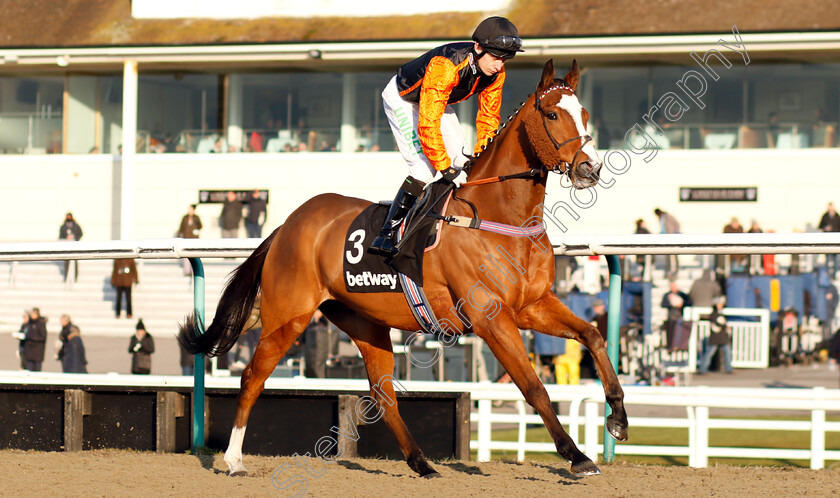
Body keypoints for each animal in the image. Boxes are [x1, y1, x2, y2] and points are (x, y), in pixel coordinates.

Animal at [184, 58, 632, 478]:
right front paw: (577, 456)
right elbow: (534, 387)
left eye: (585, 114)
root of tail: (287, 224)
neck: (500, 217)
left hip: (363, 322)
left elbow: (593, 335)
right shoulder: (492, 318)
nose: (590, 169)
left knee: (383, 395)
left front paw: (618, 418)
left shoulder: (532, 305)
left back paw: (421, 462)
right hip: (287, 316)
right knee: (252, 376)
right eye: (553, 114)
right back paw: (234, 459)